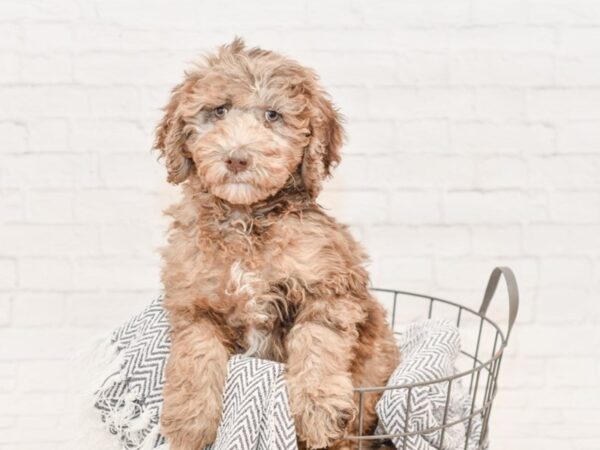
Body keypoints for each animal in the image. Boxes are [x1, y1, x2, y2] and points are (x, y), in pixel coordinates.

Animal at [155, 39, 398, 450]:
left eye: (273, 115)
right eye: (219, 111)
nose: (237, 158)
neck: (245, 220)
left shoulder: (328, 288)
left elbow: (318, 342)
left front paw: (318, 407)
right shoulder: (194, 301)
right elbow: (196, 353)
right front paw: (190, 420)